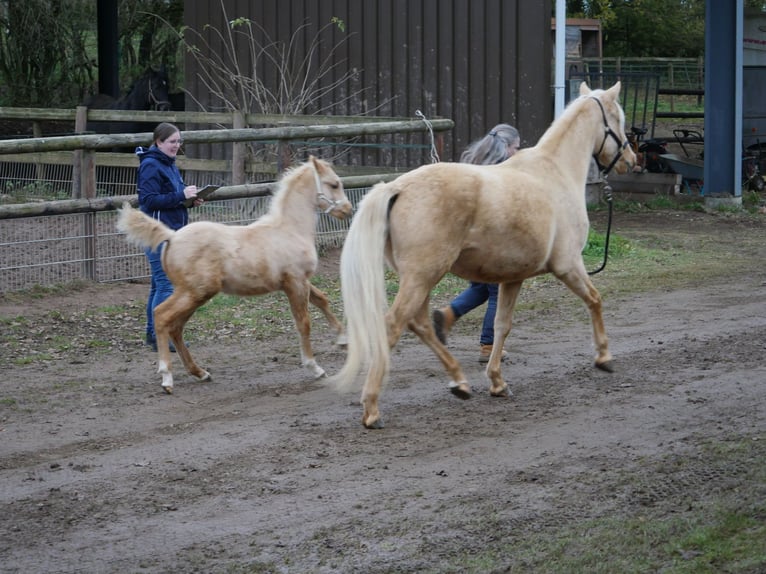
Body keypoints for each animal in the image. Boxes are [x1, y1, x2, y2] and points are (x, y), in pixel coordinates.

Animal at [116, 155, 354, 394]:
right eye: (334, 184)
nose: (348, 210)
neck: (290, 230)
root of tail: (172, 236)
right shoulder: (295, 282)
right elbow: (304, 323)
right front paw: (315, 368)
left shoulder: (299, 281)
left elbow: (322, 299)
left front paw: (343, 340)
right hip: (195, 292)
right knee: (161, 315)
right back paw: (167, 377)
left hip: (193, 295)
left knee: (175, 327)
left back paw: (200, 373)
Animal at [332, 83, 640, 430]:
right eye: (618, 119)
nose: (632, 159)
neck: (555, 172)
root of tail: (397, 187)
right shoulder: (568, 265)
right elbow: (595, 300)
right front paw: (604, 357)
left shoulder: (513, 277)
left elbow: (501, 324)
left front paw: (497, 382)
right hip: (422, 277)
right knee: (394, 325)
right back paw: (372, 409)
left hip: (420, 278)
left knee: (421, 324)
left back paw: (459, 382)